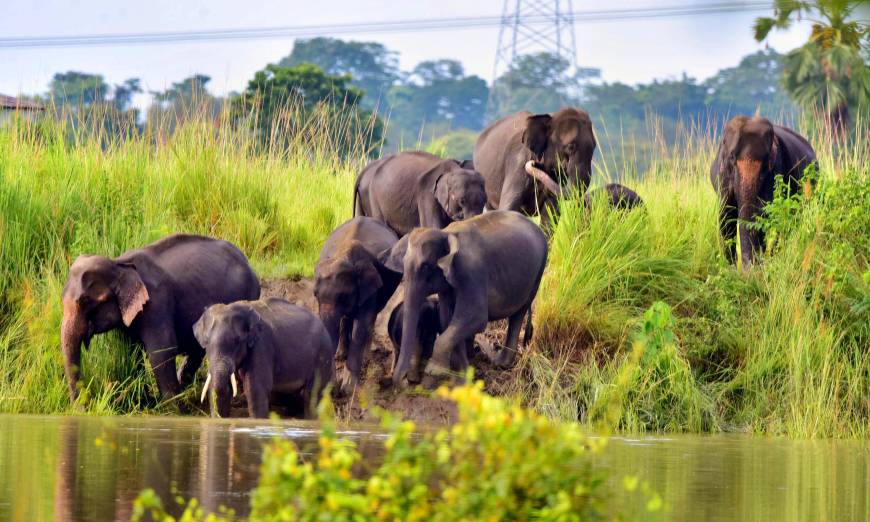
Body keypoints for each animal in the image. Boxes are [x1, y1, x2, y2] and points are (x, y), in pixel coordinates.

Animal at [60, 233, 260, 402]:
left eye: (85, 302)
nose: (84, 407)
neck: (119, 264)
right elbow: (130, 351)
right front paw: (144, 401)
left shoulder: (157, 303)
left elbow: (161, 353)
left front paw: (172, 410)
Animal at [194, 296, 334, 418]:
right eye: (206, 342)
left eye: (237, 341)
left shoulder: (262, 345)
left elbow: (255, 389)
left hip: (323, 355)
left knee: (312, 395)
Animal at [354, 150, 490, 236]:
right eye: (461, 201)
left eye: (484, 202)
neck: (453, 168)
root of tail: (365, 170)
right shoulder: (426, 193)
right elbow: (433, 227)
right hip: (373, 198)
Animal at [380, 209, 544, 384]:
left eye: (426, 267)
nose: (405, 379)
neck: (446, 233)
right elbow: (448, 319)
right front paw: (463, 377)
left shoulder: (471, 272)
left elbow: (476, 317)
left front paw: (435, 371)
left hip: (538, 273)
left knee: (518, 314)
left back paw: (501, 364)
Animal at [716, 117, 816, 268]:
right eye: (732, 157)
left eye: (766, 162)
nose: (748, 268)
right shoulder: (722, 179)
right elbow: (726, 215)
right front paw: (729, 267)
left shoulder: (776, 171)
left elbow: (763, 213)